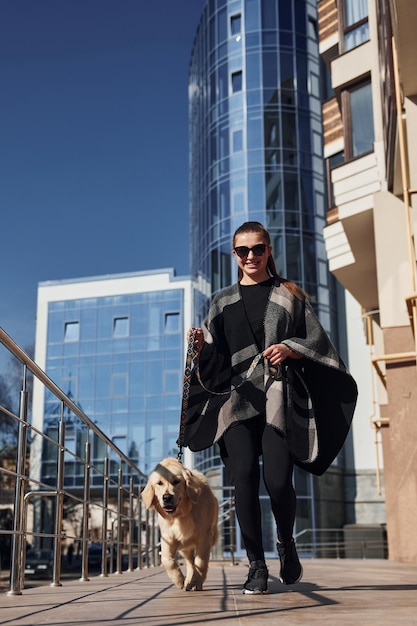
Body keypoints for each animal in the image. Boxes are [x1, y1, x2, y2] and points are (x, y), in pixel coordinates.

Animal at [141, 456, 218, 588]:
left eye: (176, 481)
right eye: (159, 483)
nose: (167, 497)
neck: (180, 515)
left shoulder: (203, 537)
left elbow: (201, 561)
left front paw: (197, 580)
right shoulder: (168, 537)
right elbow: (166, 559)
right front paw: (178, 579)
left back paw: (196, 583)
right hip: (185, 548)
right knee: (190, 562)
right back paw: (188, 581)